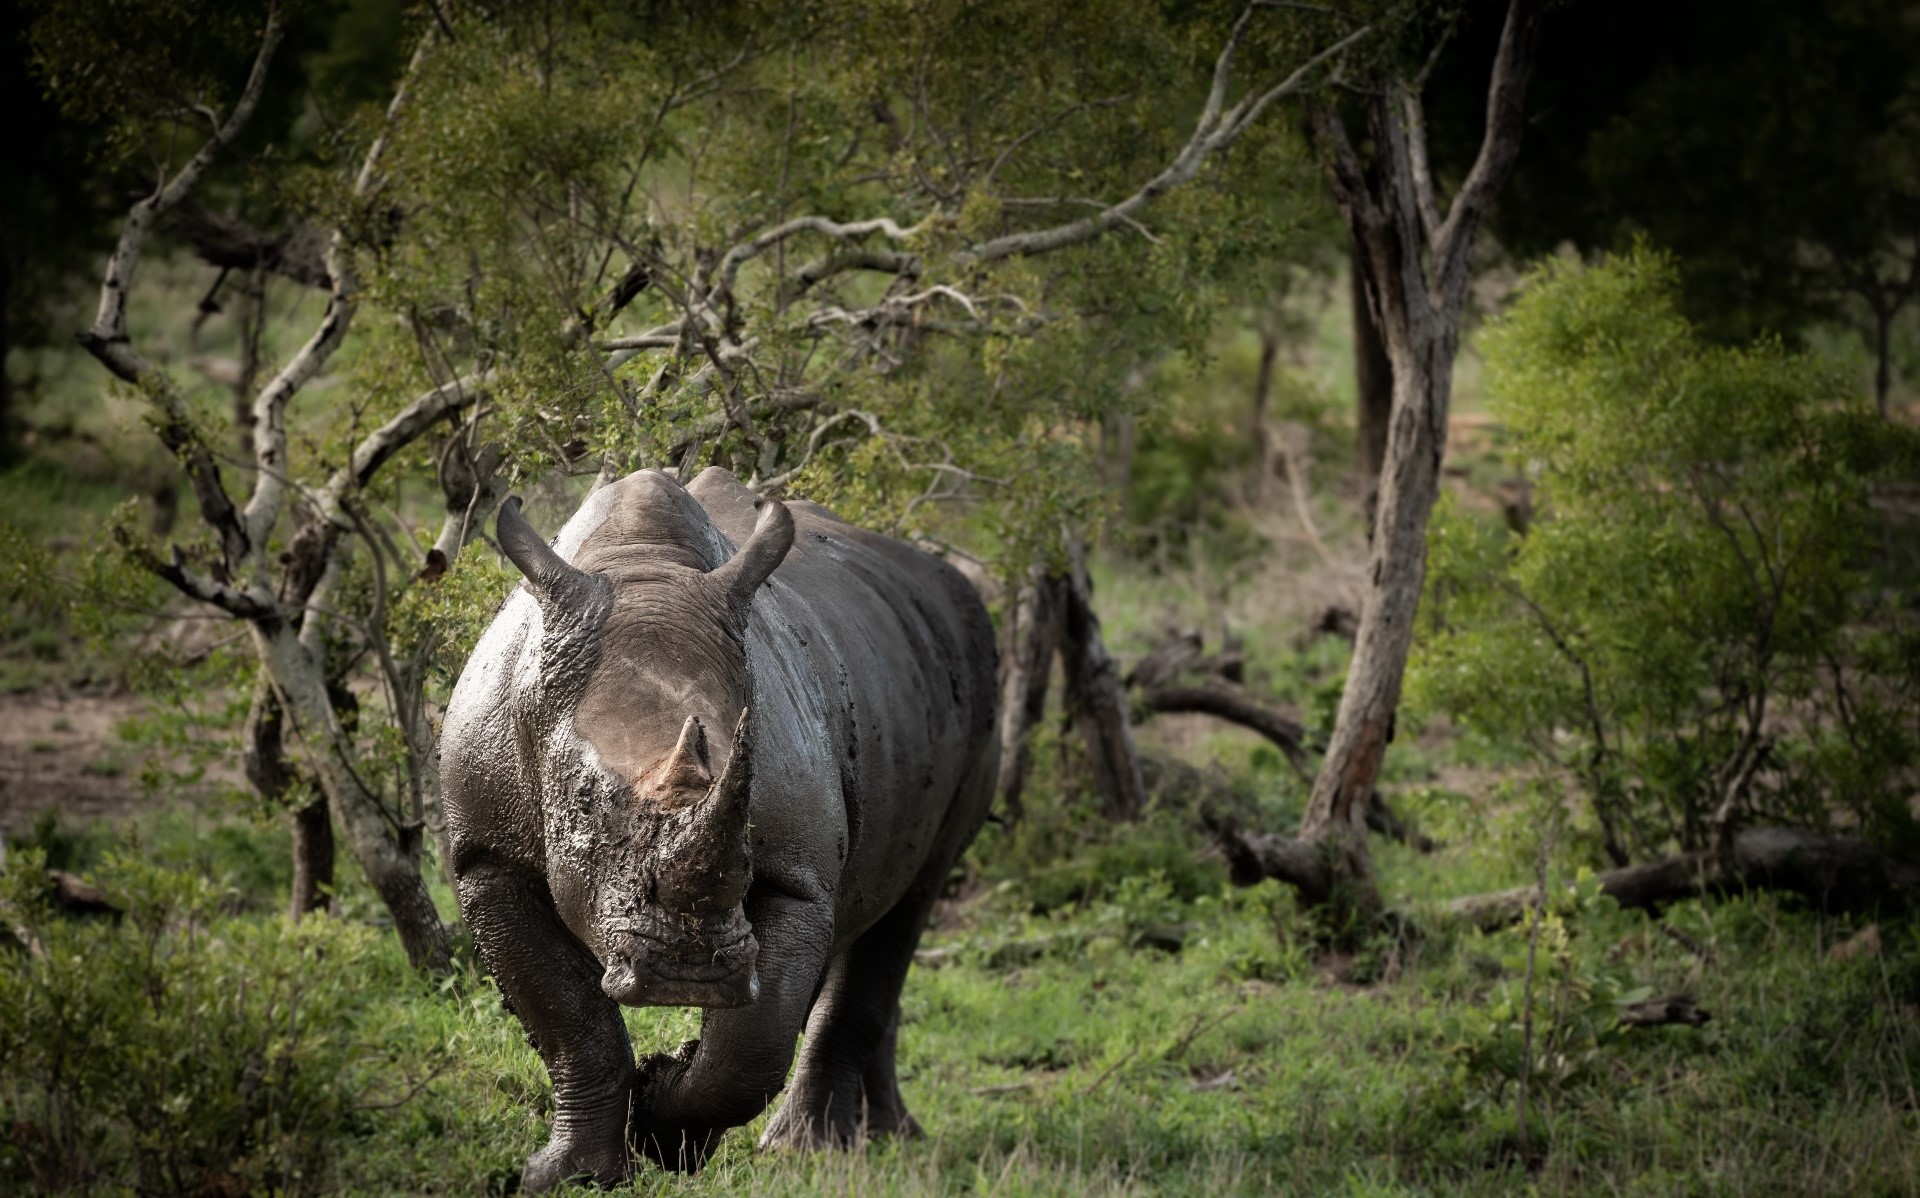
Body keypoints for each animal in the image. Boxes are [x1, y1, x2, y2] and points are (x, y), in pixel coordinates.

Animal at [439, 466, 998, 1189]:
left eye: (748, 785)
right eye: (584, 802)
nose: (688, 971)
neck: (642, 566)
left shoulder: (795, 877)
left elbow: (752, 1044)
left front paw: (664, 1123)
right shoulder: (485, 854)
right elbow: (569, 1020)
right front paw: (575, 1177)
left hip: (974, 673)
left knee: (913, 897)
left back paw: (814, 1151)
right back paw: (883, 1138)